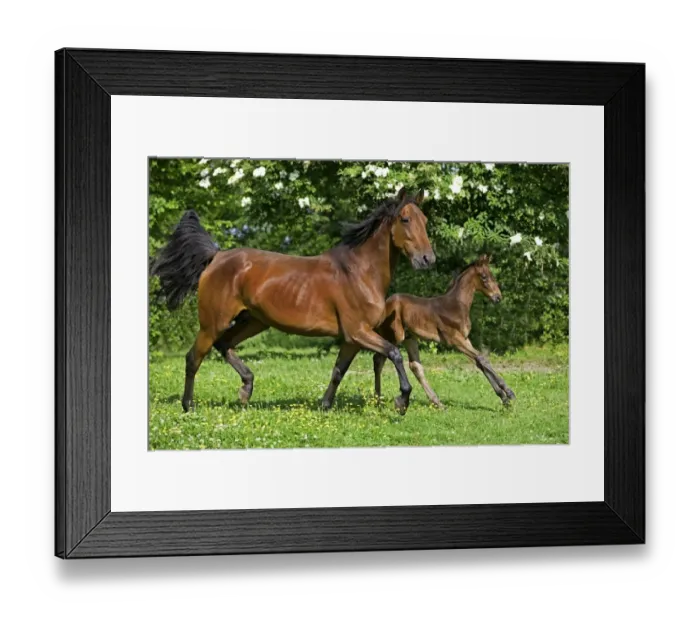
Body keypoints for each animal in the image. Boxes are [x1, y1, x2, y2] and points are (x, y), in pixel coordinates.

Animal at [150, 187, 435, 414]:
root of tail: (216, 257)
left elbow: (338, 371)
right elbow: (394, 353)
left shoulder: (352, 339)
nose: (428, 259)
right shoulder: (358, 332)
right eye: (405, 219)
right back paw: (189, 406)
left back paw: (245, 390)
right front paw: (402, 401)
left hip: (254, 321)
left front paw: (325, 406)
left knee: (225, 345)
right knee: (193, 358)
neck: (359, 272)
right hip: (213, 323)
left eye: (424, 220)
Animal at [372, 254, 516, 408]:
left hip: (409, 338)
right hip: (394, 336)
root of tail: (385, 305)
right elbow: (482, 358)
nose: (498, 297)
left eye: (492, 276)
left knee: (415, 366)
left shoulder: (465, 339)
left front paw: (504, 396)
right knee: (379, 360)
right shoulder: (455, 340)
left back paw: (437, 403)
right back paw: (377, 399)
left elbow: (480, 362)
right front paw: (508, 393)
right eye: (484, 277)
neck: (456, 306)